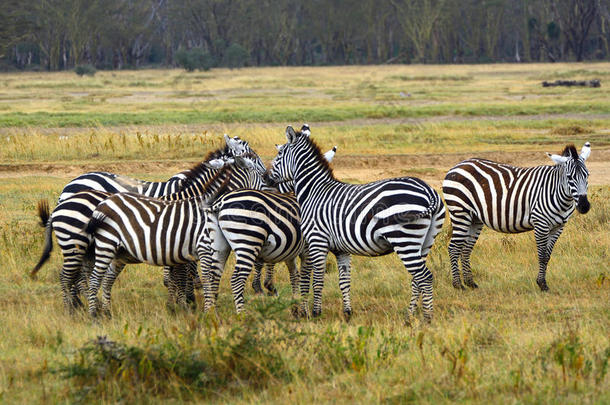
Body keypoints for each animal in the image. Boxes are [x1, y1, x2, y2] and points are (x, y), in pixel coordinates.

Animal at [84, 156, 262, 318]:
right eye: (262, 174)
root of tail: (104, 202)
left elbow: (184, 277)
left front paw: (184, 306)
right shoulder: (202, 247)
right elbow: (197, 278)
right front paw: (198, 309)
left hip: (120, 252)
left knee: (107, 279)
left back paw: (107, 312)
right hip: (106, 244)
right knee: (94, 279)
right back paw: (94, 314)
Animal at [268, 126, 444, 322]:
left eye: (279, 154)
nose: (266, 178)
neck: (314, 191)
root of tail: (429, 191)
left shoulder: (317, 241)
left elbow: (318, 280)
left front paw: (315, 313)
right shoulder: (341, 249)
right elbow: (344, 281)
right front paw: (347, 313)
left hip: (404, 240)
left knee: (425, 278)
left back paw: (427, 318)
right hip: (425, 241)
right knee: (417, 279)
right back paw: (409, 317)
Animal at [442, 142, 588, 290]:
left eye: (587, 175)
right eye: (569, 177)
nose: (584, 206)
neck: (557, 192)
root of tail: (457, 166)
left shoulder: (558, 227)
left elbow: (547, 256)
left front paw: (543, 283)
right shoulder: (541, 223)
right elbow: (542, 256)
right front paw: (542, 284)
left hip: (474, 219)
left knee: (466, 249)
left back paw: (470, 283)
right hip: (460, 212)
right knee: (454, 248)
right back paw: (458, 285)